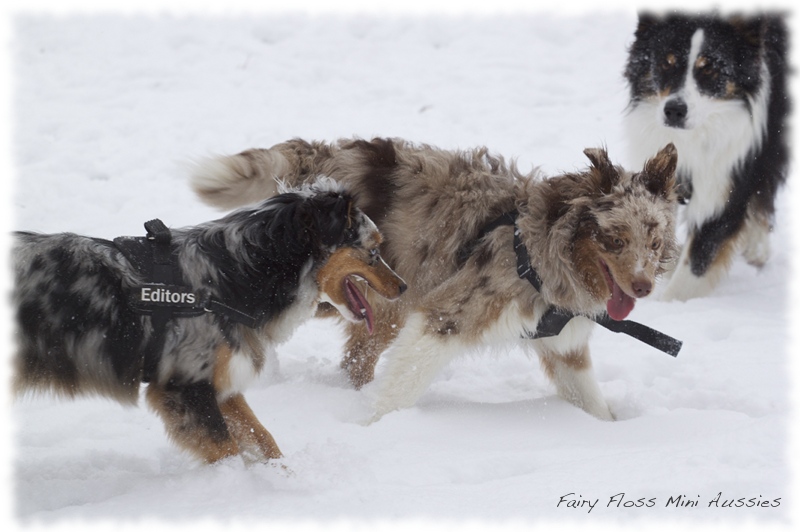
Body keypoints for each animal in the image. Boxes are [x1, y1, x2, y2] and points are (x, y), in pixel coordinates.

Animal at [14, 181, 406, 464]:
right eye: (373, 249)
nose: (404, 287)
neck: (234, 276)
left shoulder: (219, 381)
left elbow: (263, 438)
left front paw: (283, 478)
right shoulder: (185, 385)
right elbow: (228, 450)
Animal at [624, 12, 788, 302]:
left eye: (710, 69)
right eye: (666, 63)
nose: (674, 111)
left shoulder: (726, 183)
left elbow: (697, 262)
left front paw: (669, 306)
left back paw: (758, 247)